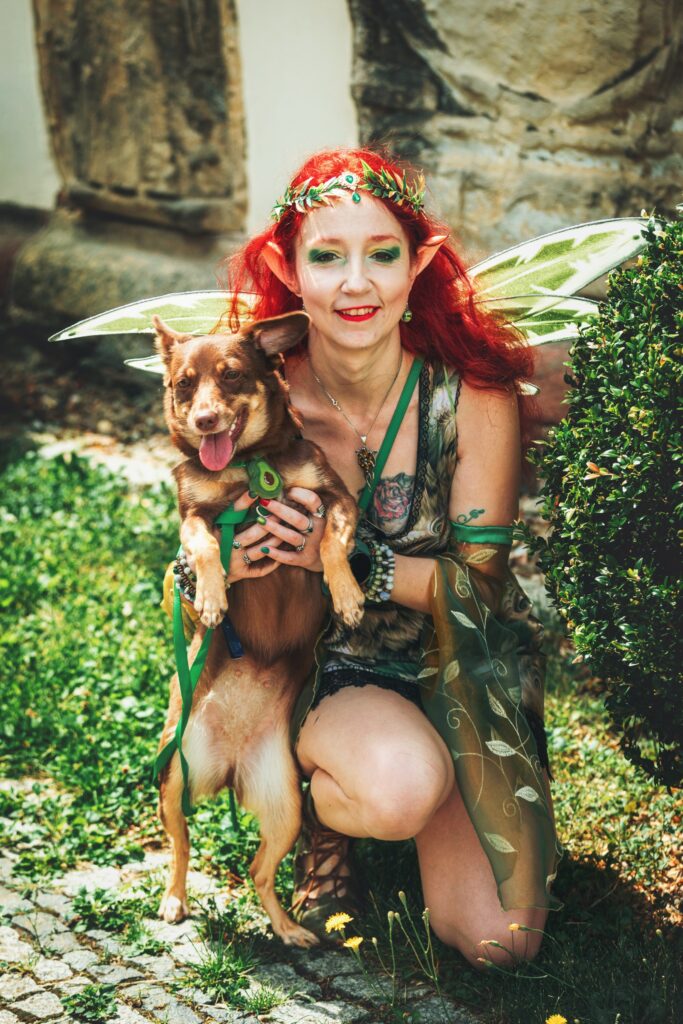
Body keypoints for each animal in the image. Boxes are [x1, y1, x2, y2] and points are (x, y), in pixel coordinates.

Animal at [152, 310, 364, 947]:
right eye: (184, 386)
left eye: (232, 376)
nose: (203, 420)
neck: (244, 467)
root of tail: (229, 768)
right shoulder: (194, 515)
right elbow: (202, 546)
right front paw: (213, 595)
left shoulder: (332, 498)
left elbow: (331, 543)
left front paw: (348, 594)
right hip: (172, 775)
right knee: (181, 847)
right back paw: (174, 901)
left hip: (286, 809)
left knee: (258, 873)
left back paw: (290, 930)